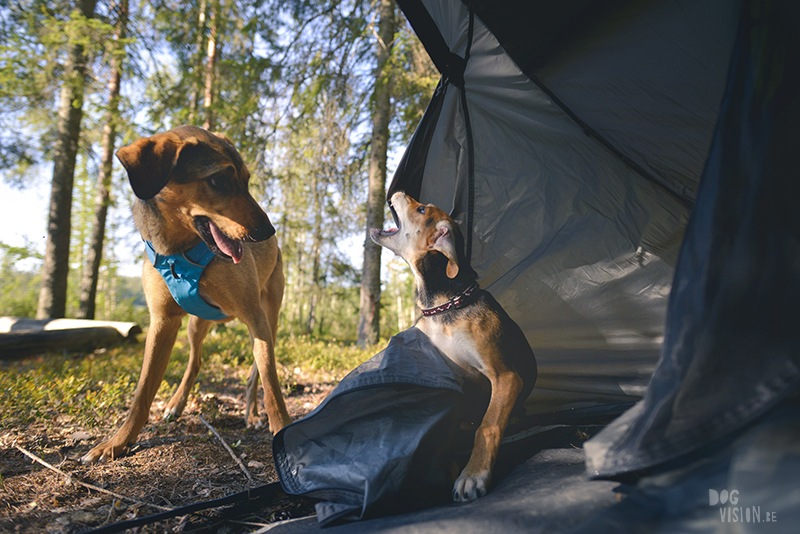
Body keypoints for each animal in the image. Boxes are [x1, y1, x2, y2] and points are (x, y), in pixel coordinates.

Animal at [81, 125, 292, 464]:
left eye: (246, 181)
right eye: (218, 181)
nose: (267, 233)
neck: (181, 250)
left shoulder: (255, 318)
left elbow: (271, 384)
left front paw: (282, 427)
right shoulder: (162, 323)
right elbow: (143, 392)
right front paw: (118, 442)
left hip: (269, 316)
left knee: (255, 373)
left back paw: (252, 414)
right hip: (197, 324)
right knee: (196, 361)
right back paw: (177, 404)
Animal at [370, 192, 536, 502]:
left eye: (422, 209)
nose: (397, 191)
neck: (444, 305)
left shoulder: (505, 378)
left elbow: (488, 426)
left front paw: (473, 475)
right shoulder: (452, 380)